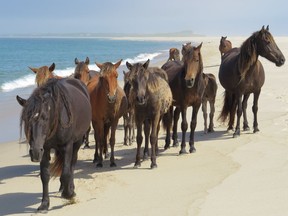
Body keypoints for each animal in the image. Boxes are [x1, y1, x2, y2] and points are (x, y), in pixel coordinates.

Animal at [17, 77, 91, 211]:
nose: (34, 152)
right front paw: (45, 203)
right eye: (26, 119)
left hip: (77, 142)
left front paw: (68, 194)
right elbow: (45, 175)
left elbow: (66, 172)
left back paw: (70, 188)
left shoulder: (67, 146)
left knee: (72, 165)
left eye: (45, 117)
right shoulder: (44, 149)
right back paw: (62, 187)